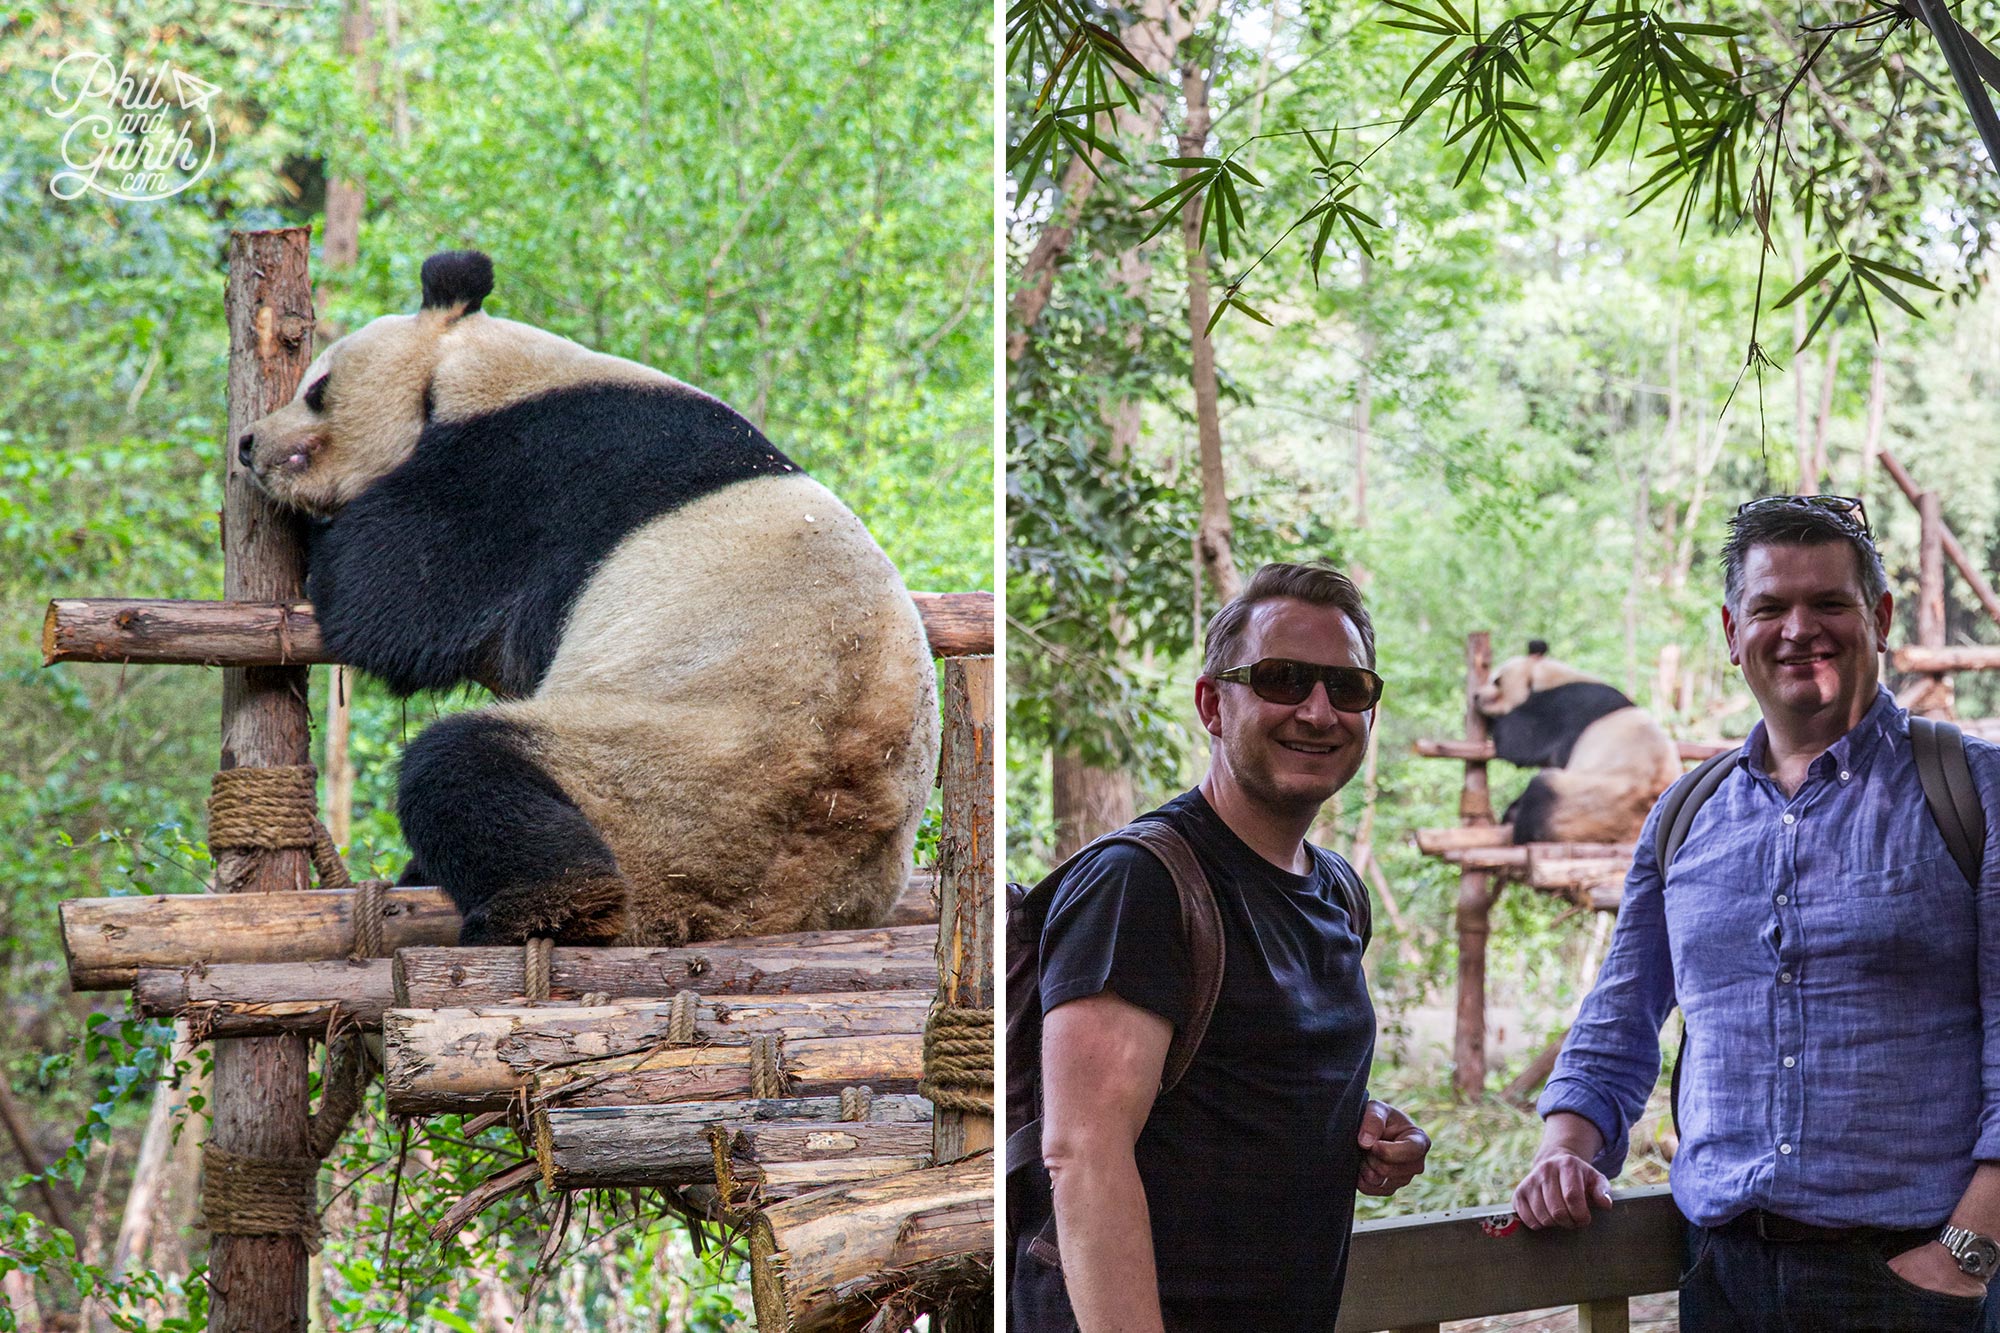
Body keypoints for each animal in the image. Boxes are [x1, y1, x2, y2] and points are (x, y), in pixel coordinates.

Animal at [232, 252, 936, 944]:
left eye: (317, 390)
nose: (247, 444)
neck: (474, 369)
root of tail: (763, 909)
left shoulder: (527, 473)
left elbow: (389, 592)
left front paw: (314, 535)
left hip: (669, 774)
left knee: (463, 766)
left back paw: (544, 904)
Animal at [1480, 640, 1680, 840]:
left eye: (1497, 681)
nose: (1477, 696)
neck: (1547, 676)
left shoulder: (1565, 706)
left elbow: (1520, 740)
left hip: (1592, 801)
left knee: (1542, 791)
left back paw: (1519, 826)